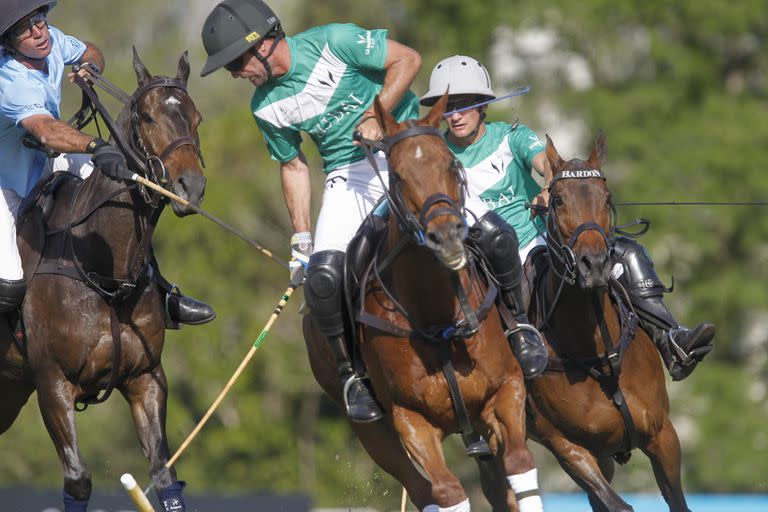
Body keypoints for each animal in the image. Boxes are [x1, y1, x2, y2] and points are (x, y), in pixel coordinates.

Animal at [0, 49, 204, 512]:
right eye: (147, 116)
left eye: (196, 117)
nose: (192, 187)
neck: (104, 276)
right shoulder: (53, 383)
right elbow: (78, 480)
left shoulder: (145, 376)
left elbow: (165, 474)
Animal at [304, 94, 544, 512]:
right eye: (397, 176)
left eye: (451, 163)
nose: (447, 236)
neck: (438, 317)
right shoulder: (410, 420)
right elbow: (447, 492)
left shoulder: (507, 388)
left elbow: (519, 463)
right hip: (371, 431)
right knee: (420, 490)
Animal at [524, 133, 688, 512]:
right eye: (557, 200)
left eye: (607, 197)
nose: (595, 265)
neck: (599, 350)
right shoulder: (570, 448)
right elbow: (617, 505)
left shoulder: (662, 434)